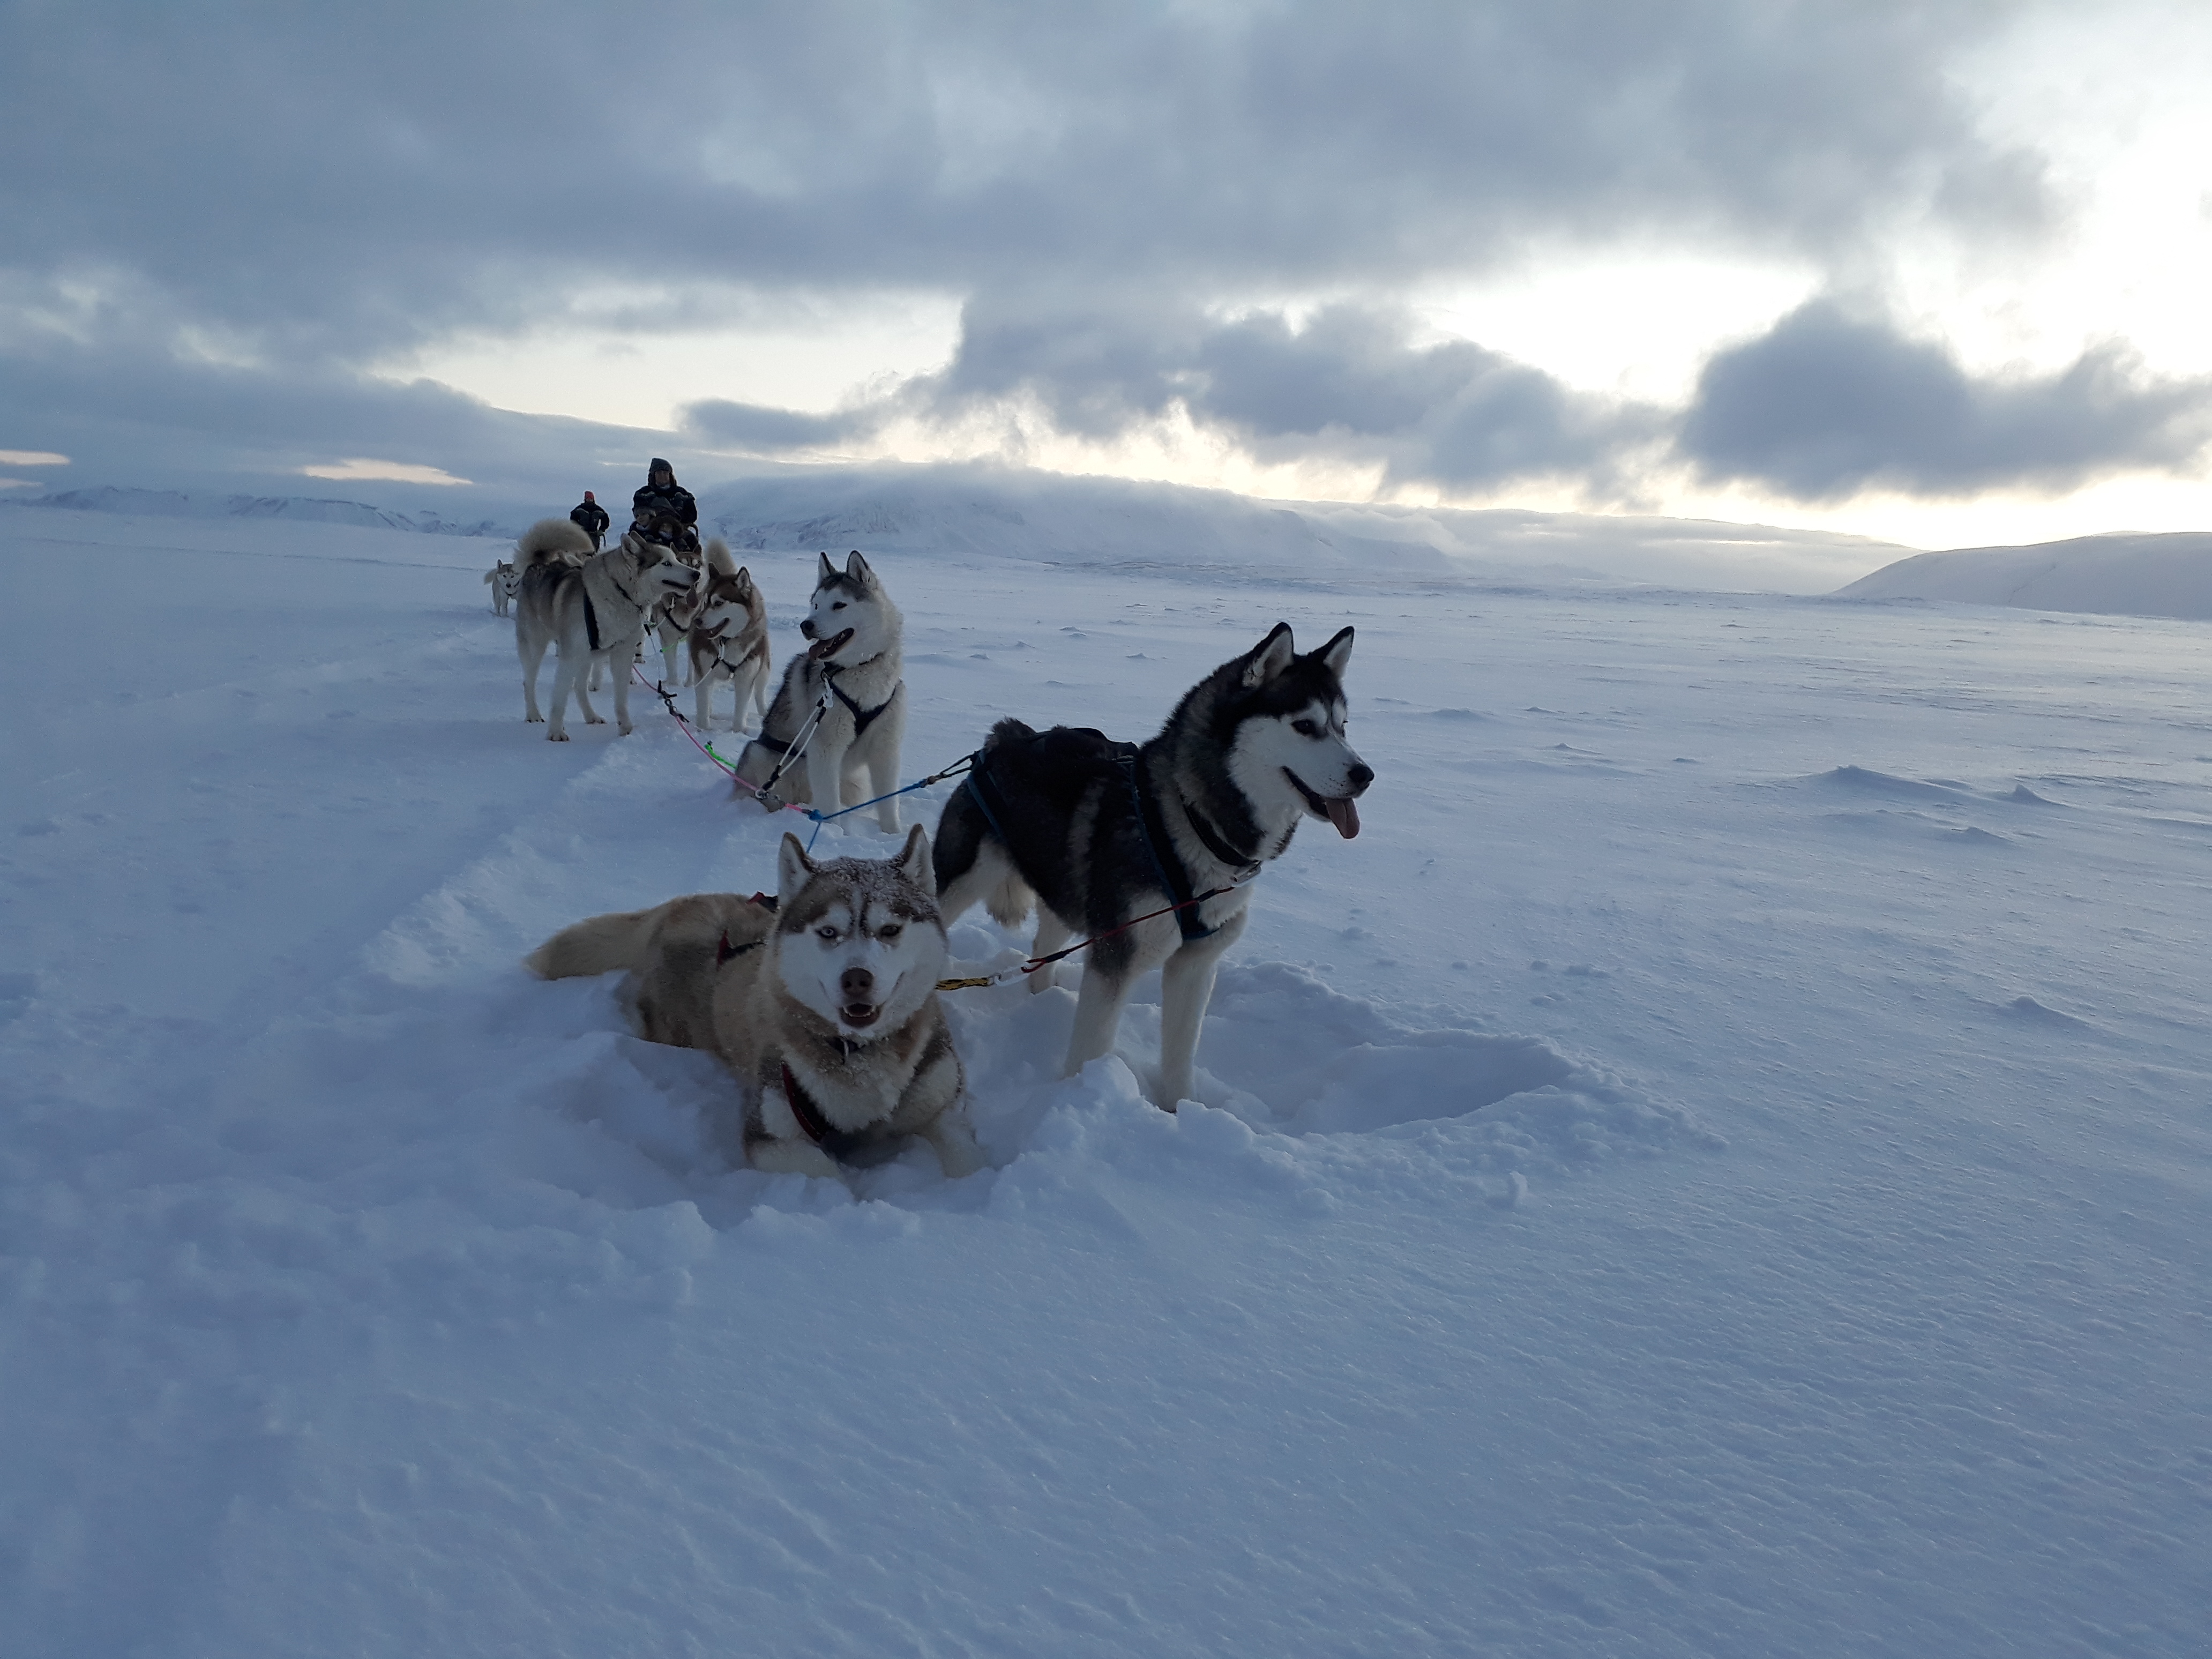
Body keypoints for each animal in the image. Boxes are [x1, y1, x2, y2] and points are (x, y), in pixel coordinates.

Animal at [513, 520, 694, 738]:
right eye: (666, 563)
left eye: (676, 559)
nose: (697, 574)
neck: (619, 591)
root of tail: (538, 563)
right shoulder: (570, 655)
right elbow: (559, 699)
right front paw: (556, 733)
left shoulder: (622, 654)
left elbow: (621, 698)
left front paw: (625, 728)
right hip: (537, 647)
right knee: (529, 682)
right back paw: (533, 714)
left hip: (588, 656)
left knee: (579, 686)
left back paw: (591, 716)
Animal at [522, 827, 982, 1185]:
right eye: (828, 931)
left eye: (889, 930)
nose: (856, 979)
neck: (859, 1054)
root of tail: (682, 904)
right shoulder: (770, 1137)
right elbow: (830, 1177)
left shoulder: (945, 1108)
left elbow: (968, 1161)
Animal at [685, 542, 774, 730]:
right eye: (705, 602)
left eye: (718, 603)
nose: (696, 621)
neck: (728, 641)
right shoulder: (703, 674)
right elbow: (703, 706)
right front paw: (704, 730)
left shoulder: (746, 679)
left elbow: (741, 711)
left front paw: (737, 732)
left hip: (764, 668)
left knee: (760, 691)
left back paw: (764, 713)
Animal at [929, 624, 1362, 1119]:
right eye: (1305, 726)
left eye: (1343, 726)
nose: (1365, 774)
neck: (1193, 822)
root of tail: (1005, 736)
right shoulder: (1115, 956)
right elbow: (1092, 1045)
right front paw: (1082, 1096)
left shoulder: (1196, 963)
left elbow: (1179, 1054)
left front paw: (1178, 1113)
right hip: (963, 881)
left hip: (1067, 888)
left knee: (1042, 949)